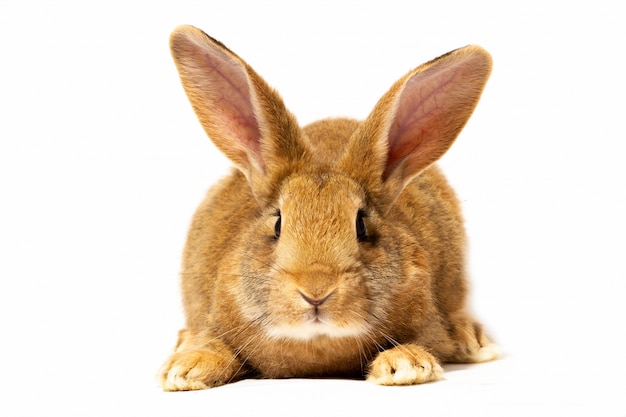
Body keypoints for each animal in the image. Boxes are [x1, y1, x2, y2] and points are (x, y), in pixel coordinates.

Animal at [160, 25, 498, 390]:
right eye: (278, 224)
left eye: (361, 225)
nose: (316, 292)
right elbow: (213, 343)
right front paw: (187, 369)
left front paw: (406, 364)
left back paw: (472, 340)